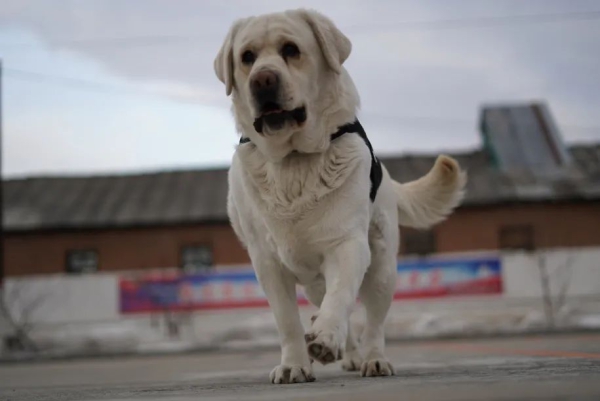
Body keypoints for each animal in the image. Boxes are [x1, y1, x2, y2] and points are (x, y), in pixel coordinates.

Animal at [213, 7, 466, 382]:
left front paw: (325, 337)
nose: (263, 80)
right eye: (247, 57)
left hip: (383, 267)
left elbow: (342, 296)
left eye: (291, 49)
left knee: (373, 322)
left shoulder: (347, 244)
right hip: (316, 280)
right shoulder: (266, 262)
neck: (294, 162)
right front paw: (294, 364)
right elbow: (286, 320)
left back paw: (371, 359)